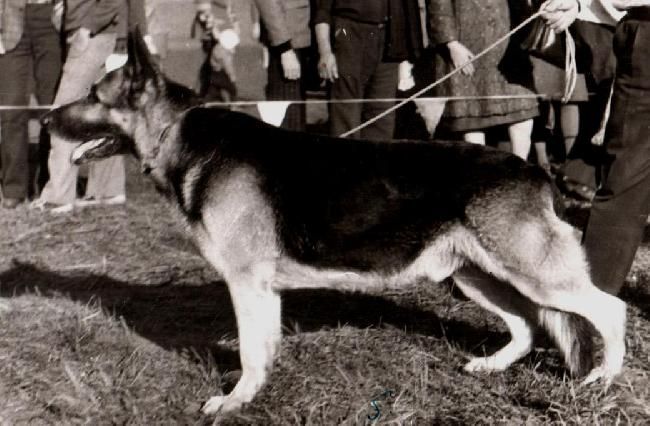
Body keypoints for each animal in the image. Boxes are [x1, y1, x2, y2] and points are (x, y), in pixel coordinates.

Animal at [41, 32, 627, 416]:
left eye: (93, 95)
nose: (45, 119)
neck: (177, 134)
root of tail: (534, 170)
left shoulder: (246, 283)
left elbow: (249, 351)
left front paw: (233, 402)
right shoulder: (262, 290)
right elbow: (262, 349)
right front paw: (254, 394)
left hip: (533, 275)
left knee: (608, 310)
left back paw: (604, 378)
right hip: (475, 275)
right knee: (527, 325)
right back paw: (491, 367)